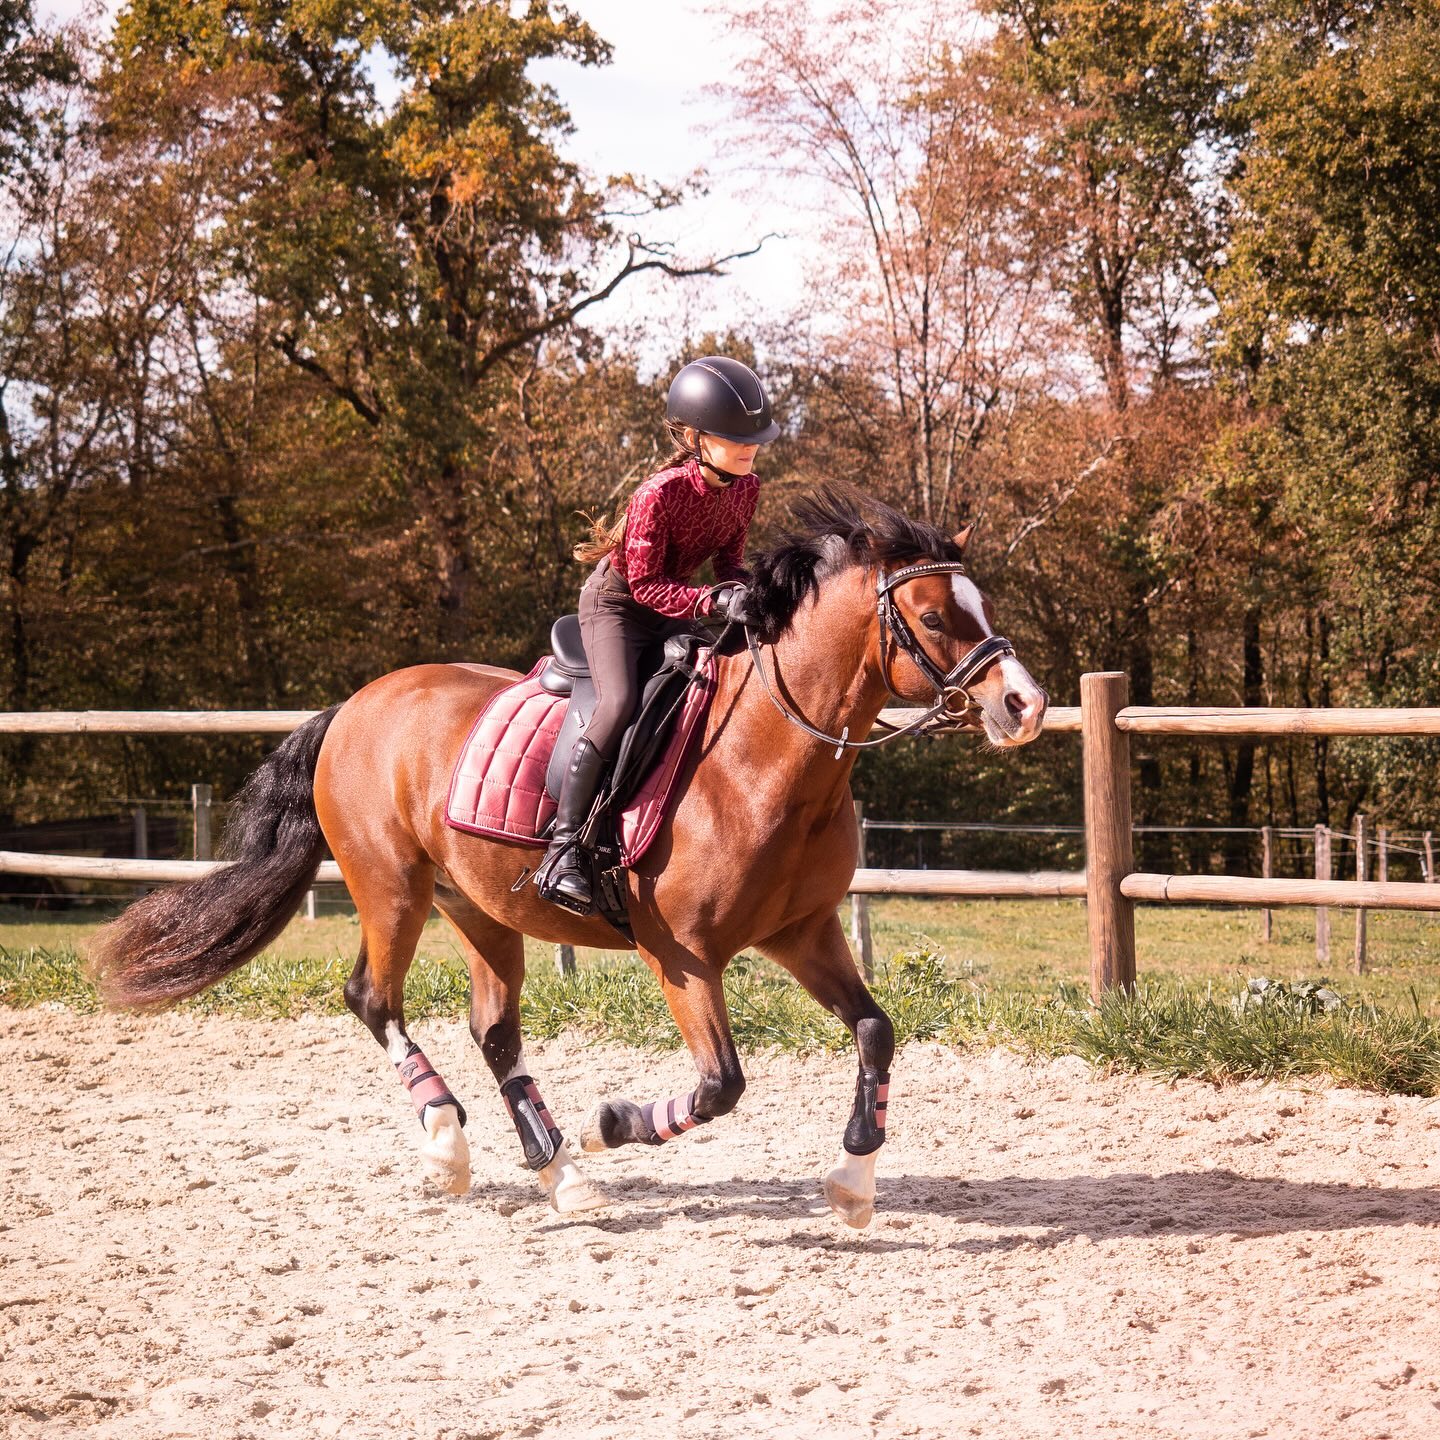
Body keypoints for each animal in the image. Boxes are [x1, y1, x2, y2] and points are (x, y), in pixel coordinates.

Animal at [92, 483, 1048, 1226]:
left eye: (982, 610)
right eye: (934, 616)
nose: (1025, 705)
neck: (764, 758)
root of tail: (356, 704)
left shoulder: (802, 932)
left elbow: (875, 1031)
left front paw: (852, 1182)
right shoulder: (681, 956)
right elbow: (720, 1085)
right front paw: (610, 1124)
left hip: (478, 908)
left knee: (493, 1031)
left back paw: (561, 1175)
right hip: (391, 888)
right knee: (373, 999)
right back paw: (450, 1147)